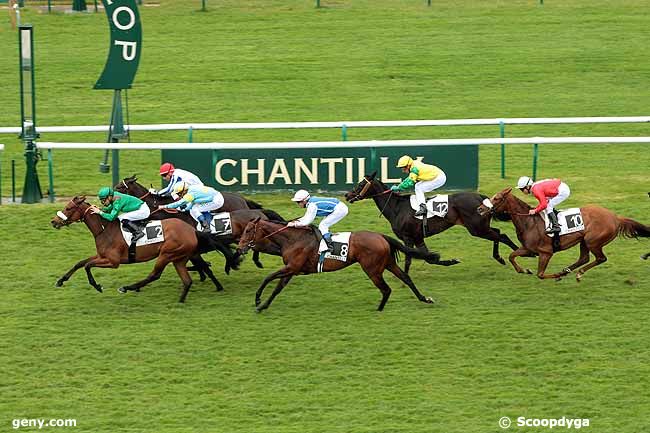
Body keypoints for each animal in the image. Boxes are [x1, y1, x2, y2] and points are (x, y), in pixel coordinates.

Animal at [50, 196, 237, 300]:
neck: (105, 230)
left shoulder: (113, 261)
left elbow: (88, 266)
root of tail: (192, 229)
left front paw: (97, 286)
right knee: (188, 279)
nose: (54, 221)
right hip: (179, 258)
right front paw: (61, 280)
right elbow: (80, 263)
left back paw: (128, 287)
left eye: (68, 208)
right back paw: (182, 299)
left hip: (166, 254)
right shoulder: (102, 256)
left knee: (155, 275)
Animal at [234, 218, 456, 312]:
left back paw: (379, 308)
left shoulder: (292, 267)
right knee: (406, 279)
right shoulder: (293, 270)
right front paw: (263, 305)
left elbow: (268, 277)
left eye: (248, 231)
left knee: (386, 289)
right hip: (387, 263)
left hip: (372, 269)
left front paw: (257, 300)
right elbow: (277, 288)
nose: (240, 247)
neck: (292, 239)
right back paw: (425, 299)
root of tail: (381, 236)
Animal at [344, 171, 516, 270]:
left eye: (361, 184)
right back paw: (503, 257)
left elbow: (409, 260)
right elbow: (429, 258)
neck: (397, 208)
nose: (347, 195)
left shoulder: (408, 237)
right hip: (481, 227)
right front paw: (451, 261)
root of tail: (480, 197)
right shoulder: (418, 237)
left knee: (501, 236)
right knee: (499, 233)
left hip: (477, 228)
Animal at [476, 186, 648, 280]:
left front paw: (555, 277)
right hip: (584, 241)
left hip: (593, 241)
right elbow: (512, 256)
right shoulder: (528, 249)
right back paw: (566, 270)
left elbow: (540, 274)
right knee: (584, 258)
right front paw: (524, 270)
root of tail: (615, 217)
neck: (529, 222)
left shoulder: (546, 252)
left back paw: (574, 273)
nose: (479, 209)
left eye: (497, 198)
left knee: (600, 258)